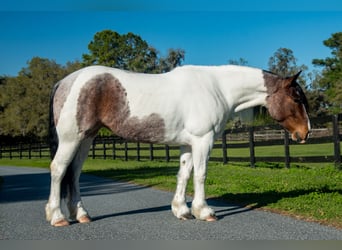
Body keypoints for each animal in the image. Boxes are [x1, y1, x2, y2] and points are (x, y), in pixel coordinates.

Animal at [45, 64, 310, 227]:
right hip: (71, 138)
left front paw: (182, 211)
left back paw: (81, 215)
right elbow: (201, 174)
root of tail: (64, 82)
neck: (217, 88)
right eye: (296, 97)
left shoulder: (189, 144)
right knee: (59, 169)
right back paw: (57, 217)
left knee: (74, 174)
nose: (305, 132)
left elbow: (184, 174)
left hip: (85, 139)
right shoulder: (203, 140)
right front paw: (204, 211)